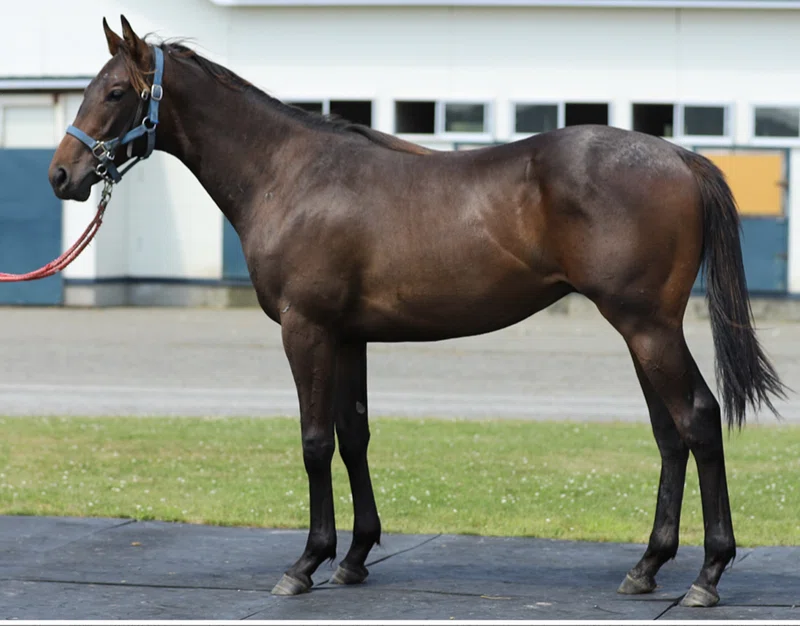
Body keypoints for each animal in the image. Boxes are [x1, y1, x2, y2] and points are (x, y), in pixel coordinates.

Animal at [49, 15, 786, 608]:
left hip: (646, 326)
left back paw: (708, 574)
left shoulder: (306, 331)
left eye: (115, 92)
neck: (292, 173)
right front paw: (353, 557)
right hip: (641, 332)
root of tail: (682, 156)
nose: (61, 176)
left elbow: (315, 441)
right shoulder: (347, 337)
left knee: (697, 420)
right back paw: (647, 566)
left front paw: (306, 562)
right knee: (670, 434)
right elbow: (353, 437)